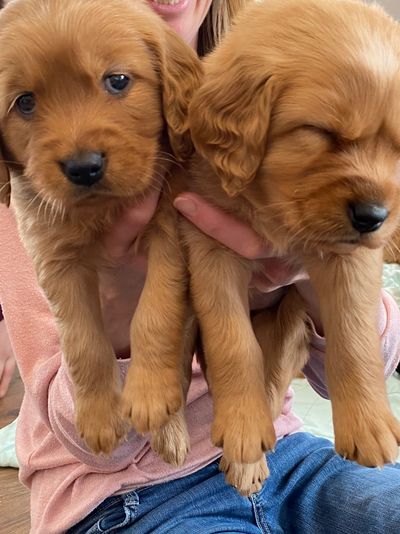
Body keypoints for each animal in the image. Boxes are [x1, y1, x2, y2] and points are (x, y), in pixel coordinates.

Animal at [0, 0, 202, 462]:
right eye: (24, 103)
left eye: (118, 80)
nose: (83, 167)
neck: (106, 212)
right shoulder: (55, 261)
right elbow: (82, 341)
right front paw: (98, 418)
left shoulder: (171, 234)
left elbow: (155, 313)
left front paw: (149, 395)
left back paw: (170, 429)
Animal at [184, 0, 400, 496]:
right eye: (320, 132)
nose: (375, 217)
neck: (271, 209)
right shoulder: (209, 248)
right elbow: (232, 341)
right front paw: (243, 428)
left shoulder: (350, 256)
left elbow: (355, 334)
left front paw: (369, 425)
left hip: (288, 324)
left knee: (274, 378)